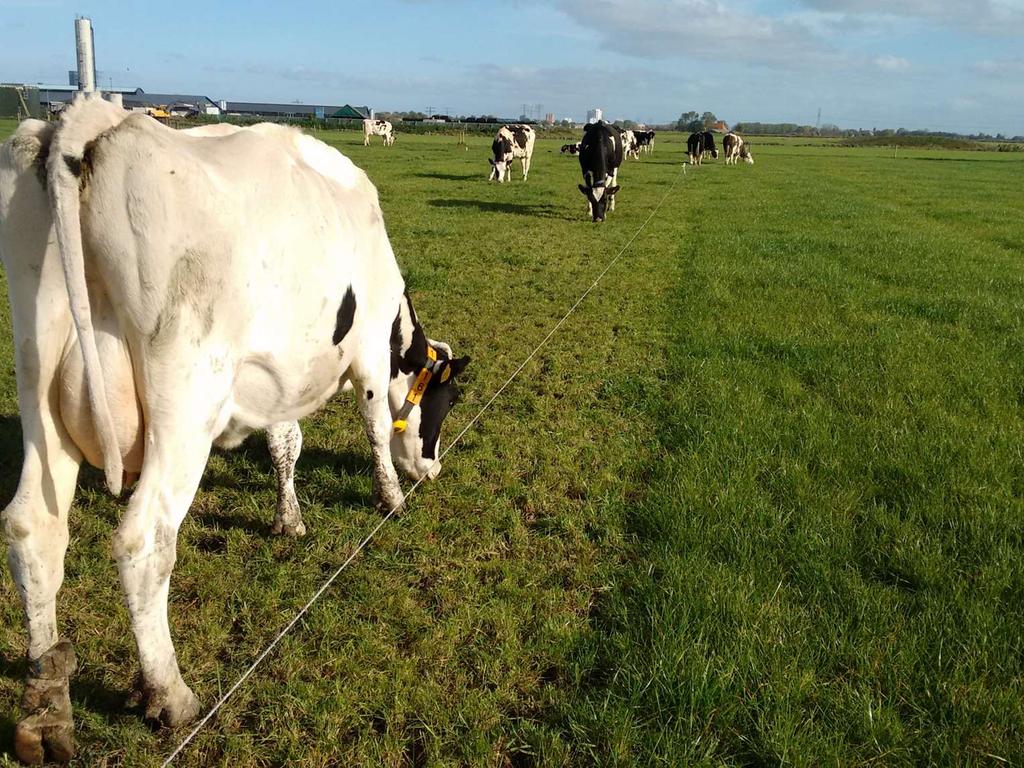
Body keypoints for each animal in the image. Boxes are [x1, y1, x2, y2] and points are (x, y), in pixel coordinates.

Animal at [0, 97, 471, 765]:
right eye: (445, 403)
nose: (435, 466)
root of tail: (97, 122)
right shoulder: (368, 355)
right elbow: (377, 427)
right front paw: (391, 497)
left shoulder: (280, 375)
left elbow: (285, 443)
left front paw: (288, 519)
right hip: (186, 398)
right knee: (143, 541)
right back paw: (169, 694)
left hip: (39, 377)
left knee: (32, 528)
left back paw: (46, 712)